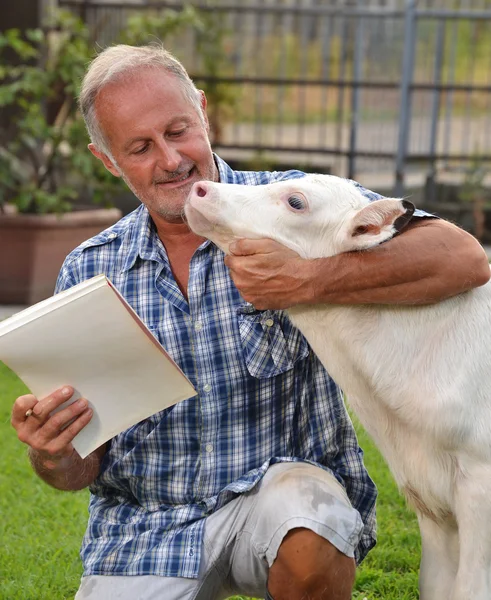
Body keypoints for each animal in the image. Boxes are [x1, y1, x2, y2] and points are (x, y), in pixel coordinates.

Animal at [184, 175, 491, 600]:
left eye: (296, 201)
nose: (201, 188)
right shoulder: (430, 500)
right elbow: (436, 583)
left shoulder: (478, 486)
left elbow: (470, 587)